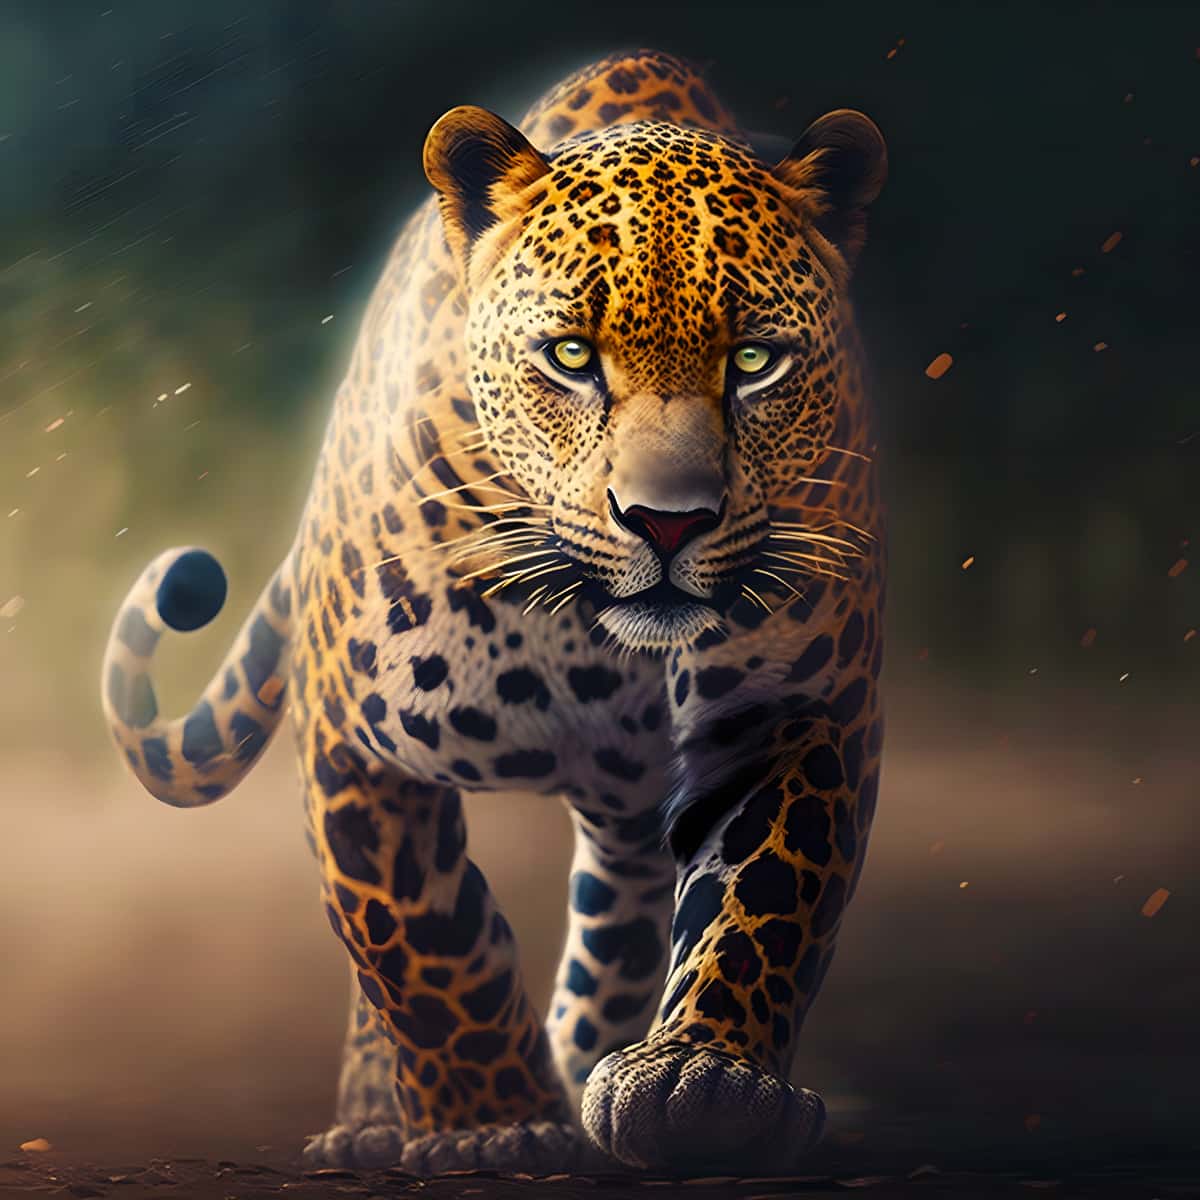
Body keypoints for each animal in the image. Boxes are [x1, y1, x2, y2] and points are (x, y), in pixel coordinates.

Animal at [100, 48, 887, 1176]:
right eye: (571, 356)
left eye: (754, 361)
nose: (669, 521)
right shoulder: (357, 737)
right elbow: (422, 939)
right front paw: (492, 1123)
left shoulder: (792, 713)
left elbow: (768, 899)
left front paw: (702, 1085)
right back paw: (382, 1115)